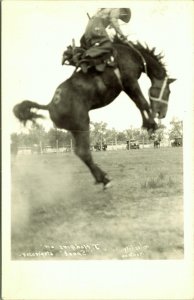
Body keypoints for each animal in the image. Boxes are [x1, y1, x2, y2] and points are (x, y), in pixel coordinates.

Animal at [12, 37, 176, 188]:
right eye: (168, 91)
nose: (162, 114)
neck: (131, 53)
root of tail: (50, 105)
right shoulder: (129, 82)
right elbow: (141, 102)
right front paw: (151, 125)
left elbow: (141, 103)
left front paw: (150, 125)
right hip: (83, 123)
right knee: (83, 151)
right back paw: (104, 179)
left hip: (75, 129)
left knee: (80, 152)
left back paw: (101, 178)